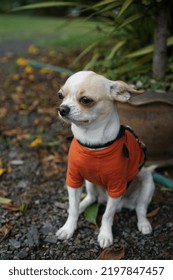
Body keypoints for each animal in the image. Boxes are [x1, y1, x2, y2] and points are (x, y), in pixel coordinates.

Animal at [56, 71, 155, 248]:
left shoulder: (116, 188)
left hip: (147, 182)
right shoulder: (74, 180)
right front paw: (68, 228)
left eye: (85, 100)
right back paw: (82, 206)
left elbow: (107, 215)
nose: (62, 109)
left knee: (141, 209)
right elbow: (73, 208)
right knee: (91, 198)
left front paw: (105, 234)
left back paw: (143, 224)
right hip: (89, 182)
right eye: (60, 95)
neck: (93, 144)